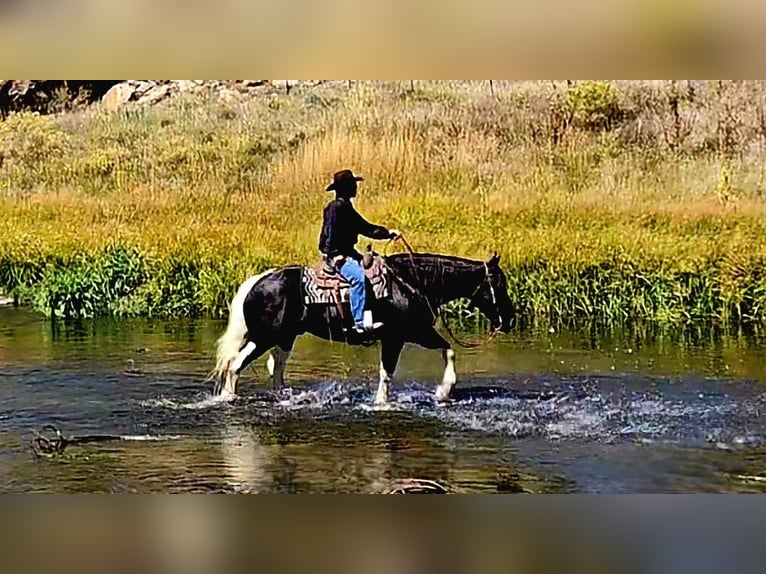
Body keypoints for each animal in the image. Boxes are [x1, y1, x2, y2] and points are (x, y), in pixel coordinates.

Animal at [208, 253, 516, 410]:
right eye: (498, 283)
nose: (510, 320)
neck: (413, 281)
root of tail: (257, 282)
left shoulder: (417, 333)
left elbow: (447, 349)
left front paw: (443, 393)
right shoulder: (399, 337)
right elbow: (387, 372)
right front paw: (385, 402)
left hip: (284, 338)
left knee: (276, 369)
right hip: (264, 338)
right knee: (235, 365)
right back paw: (228, 398)